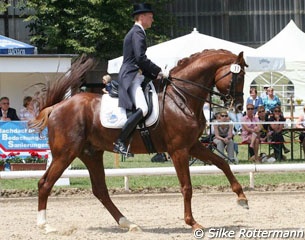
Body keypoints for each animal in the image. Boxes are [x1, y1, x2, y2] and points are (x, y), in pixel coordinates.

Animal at [27, 49, 247, 233]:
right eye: (239, 76)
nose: (238, 106)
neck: (181, 98)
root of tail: (56, 107)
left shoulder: (193, 145)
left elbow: (222, 163)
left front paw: (242, 198)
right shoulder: (179, 150)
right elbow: (187, 187)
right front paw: (192, 222)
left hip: (91, 154)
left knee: (100, 191)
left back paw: (128, 223)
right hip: (65, 154)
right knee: (45, 184)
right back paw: (45, 225)